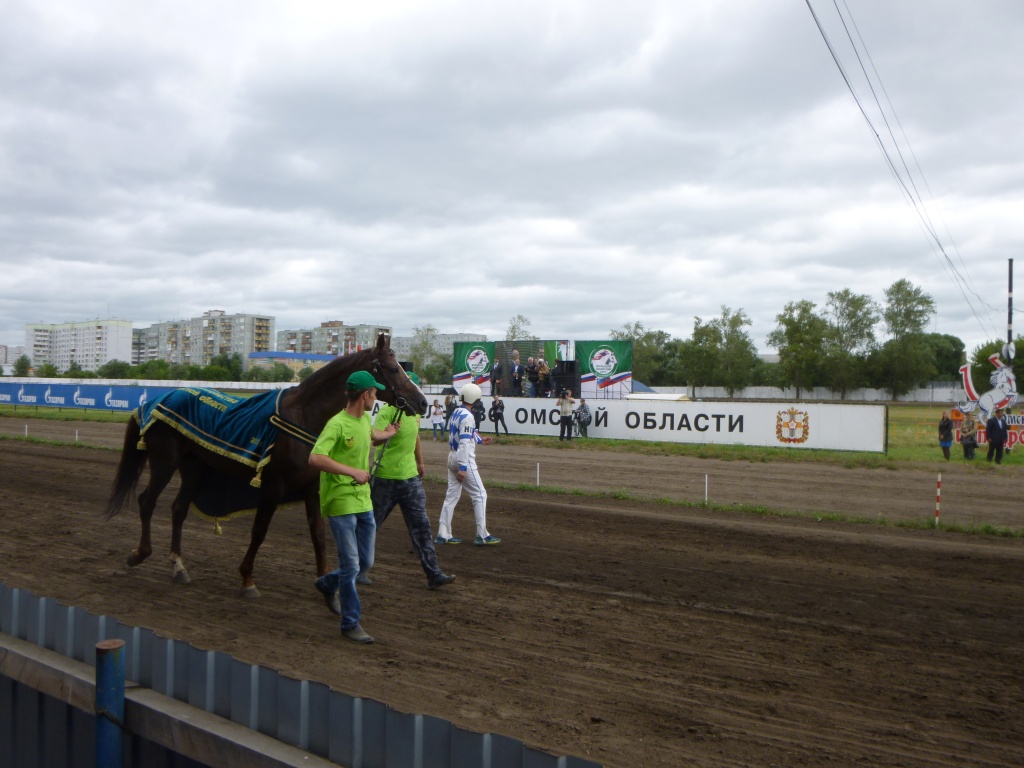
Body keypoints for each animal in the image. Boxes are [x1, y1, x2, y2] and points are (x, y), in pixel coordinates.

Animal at [103, 335, 423, 602]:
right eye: (393, 369)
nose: (420, 402)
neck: (303, 417)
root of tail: (155, 401)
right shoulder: (272, 487)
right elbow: (259, 532)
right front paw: (247, 580)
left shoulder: (312, 491)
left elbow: (318, 537)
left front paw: (326, 585)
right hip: (164, 462)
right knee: (147, 501)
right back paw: (140, 553)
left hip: (194, 468)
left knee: (178, 509)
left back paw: (178, 565)